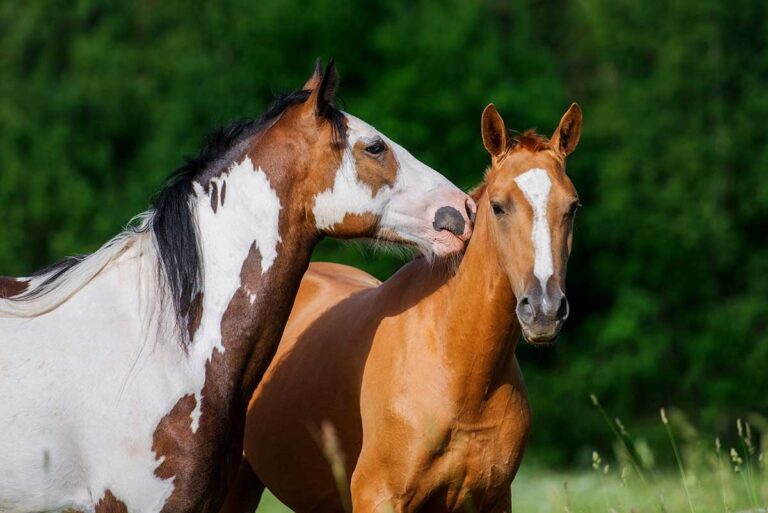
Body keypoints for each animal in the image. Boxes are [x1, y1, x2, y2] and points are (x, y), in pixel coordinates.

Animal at [219, 103, 583, 513]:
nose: (544, 309)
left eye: (572, 207)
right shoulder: (378, 497)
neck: (456, 362)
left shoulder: (493, 499)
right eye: (498, 207)